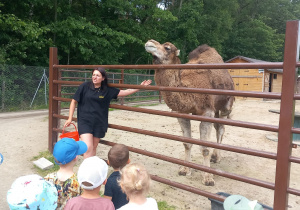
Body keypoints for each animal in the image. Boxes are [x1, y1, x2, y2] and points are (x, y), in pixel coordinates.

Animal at [145, 39, 234, 185]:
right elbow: (187, 143)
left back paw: (216, 157)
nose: (149, 42)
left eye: (167, 47)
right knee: (218, 127)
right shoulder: (182, 113)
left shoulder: (207, 112)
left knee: (221, 128)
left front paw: (208, 178)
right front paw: (185, 170)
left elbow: (205, 148)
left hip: (226, 106)